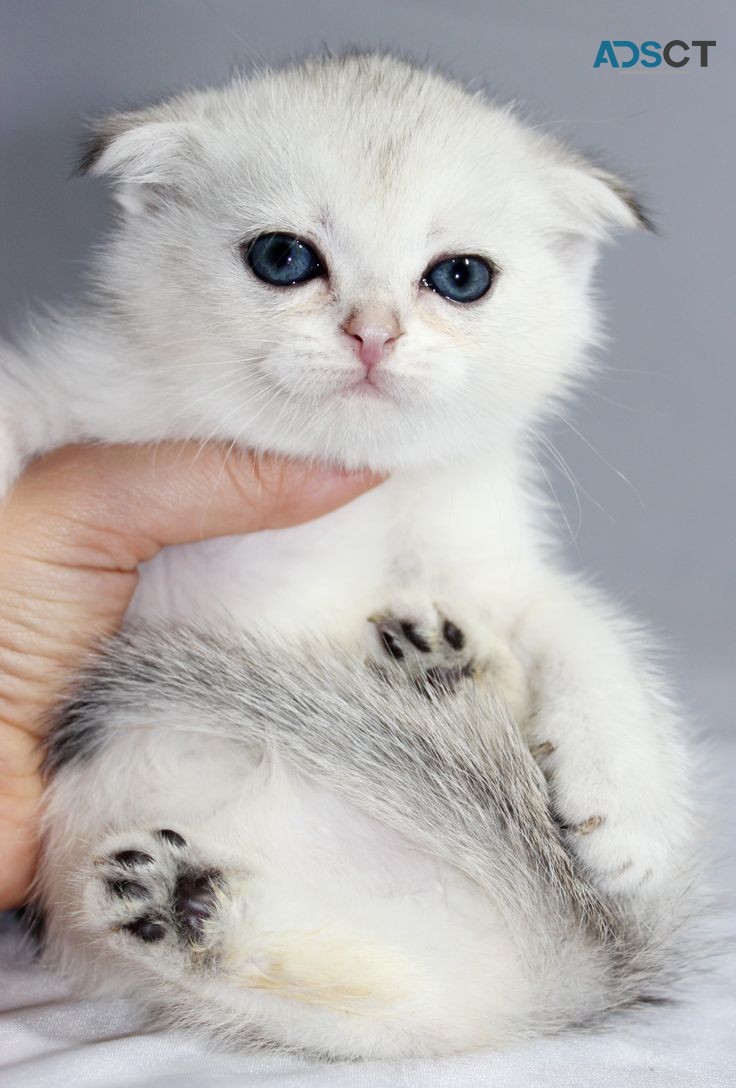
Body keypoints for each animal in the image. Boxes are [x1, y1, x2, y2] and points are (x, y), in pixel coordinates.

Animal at [0, 55, 696, 1057]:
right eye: (283, 258)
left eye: (461, 276)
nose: (374, 333)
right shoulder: (82, 393)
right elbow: (13, 405)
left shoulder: (487, 544)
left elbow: (581, 625)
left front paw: (631, 816)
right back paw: (190, 900)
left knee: (389, 1001)